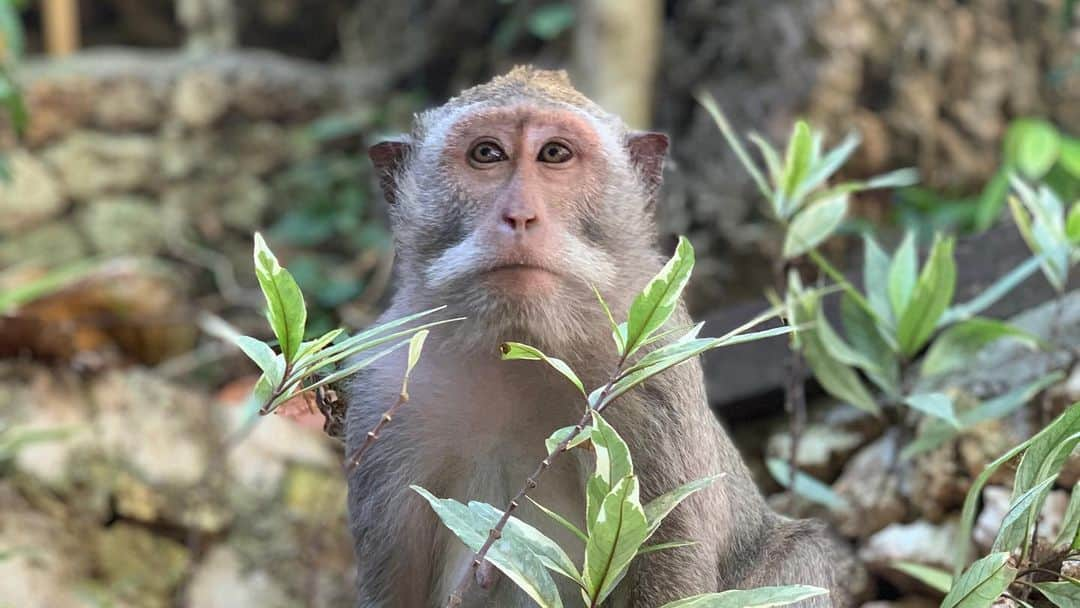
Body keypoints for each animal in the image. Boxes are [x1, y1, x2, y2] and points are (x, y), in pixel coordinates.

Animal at [341, 67, 855, 608]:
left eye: (554, 154)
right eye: (487, 153)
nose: (519, 216)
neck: (517, 349)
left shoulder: (653, 374)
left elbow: (670, 554)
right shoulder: (385, 393)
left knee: (801, 556)